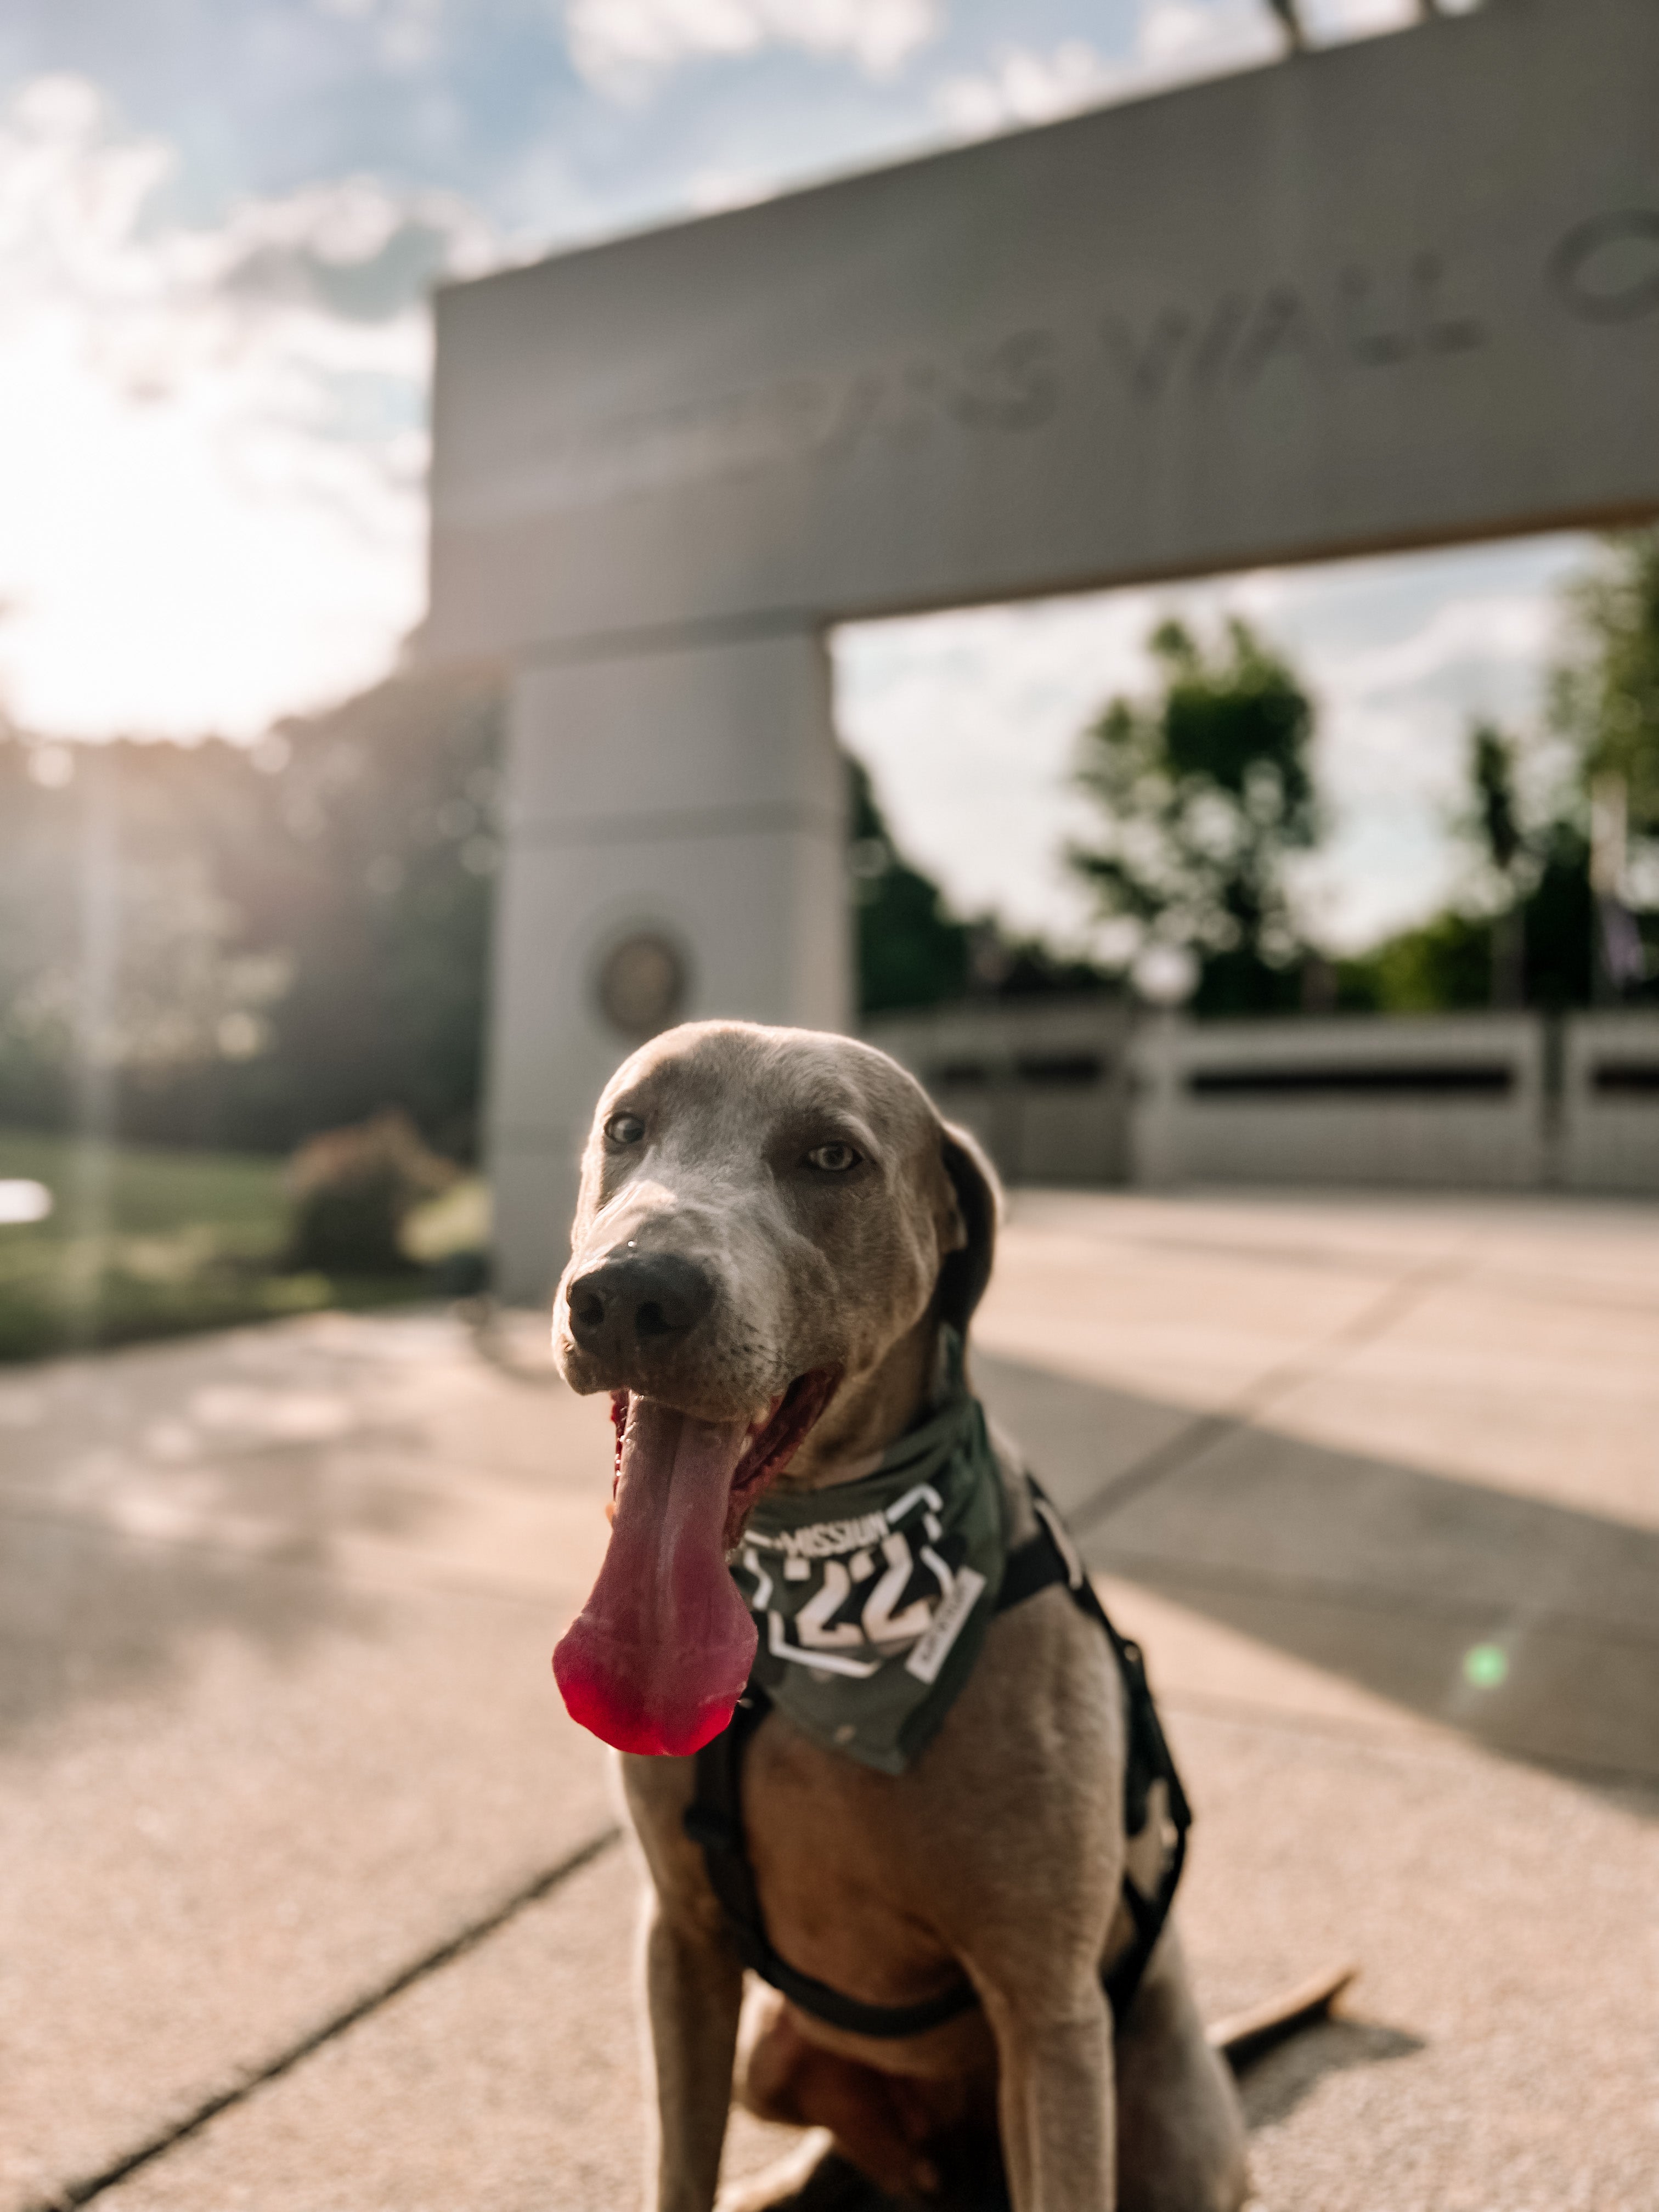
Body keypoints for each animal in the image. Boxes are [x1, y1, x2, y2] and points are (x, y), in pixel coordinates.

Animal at [553, 1026, 1256, 2212]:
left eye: (833, 1158)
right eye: (626, 1127)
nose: (628, 1291)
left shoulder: (1048, 2013)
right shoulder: (682, 1940)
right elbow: (679, 2168)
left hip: (1169, 2109)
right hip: (774, 2053)